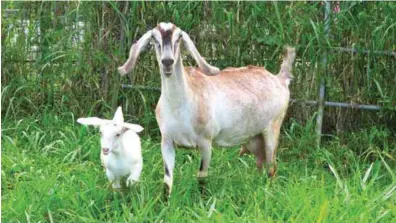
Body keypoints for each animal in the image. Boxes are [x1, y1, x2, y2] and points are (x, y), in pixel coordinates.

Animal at [119, 21, 296, 194]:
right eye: (154, 39)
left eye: (179, 38)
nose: (167, 62)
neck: (180, 107)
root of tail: (280, 79)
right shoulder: (167, 141)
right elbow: (167, 183)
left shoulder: (205, 142)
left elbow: (202, 177)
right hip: (255, 138)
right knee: (261, 165)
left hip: (272, 129)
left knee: (272, 168)